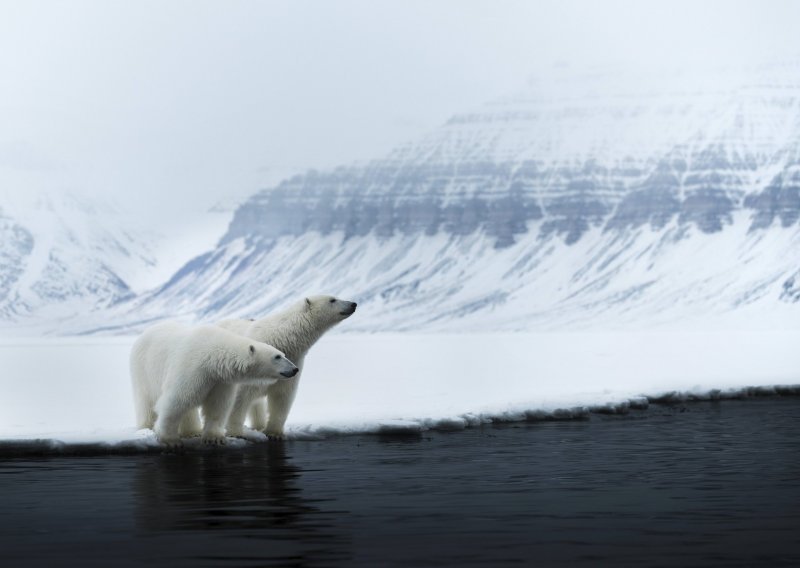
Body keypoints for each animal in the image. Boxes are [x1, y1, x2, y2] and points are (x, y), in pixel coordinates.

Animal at [131, 322, 300, 446]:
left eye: (283, 354)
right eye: (277, 356)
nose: (295, 369)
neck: (211, 356)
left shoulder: (220, 380)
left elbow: (217, 405)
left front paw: (214, 438)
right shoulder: (191, 368)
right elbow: (176, 401)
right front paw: (170, 440)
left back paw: (193, 431)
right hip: (143, 369)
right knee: (146, 401)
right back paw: (146, 426)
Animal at [219, 296, 356, 438]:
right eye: (332, 300)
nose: (353, 304)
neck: (281, 338)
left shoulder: (292, 364)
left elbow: (282, 396)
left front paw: (274, 433)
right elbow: (238, 399)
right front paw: (235, 432)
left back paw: (259, 425)